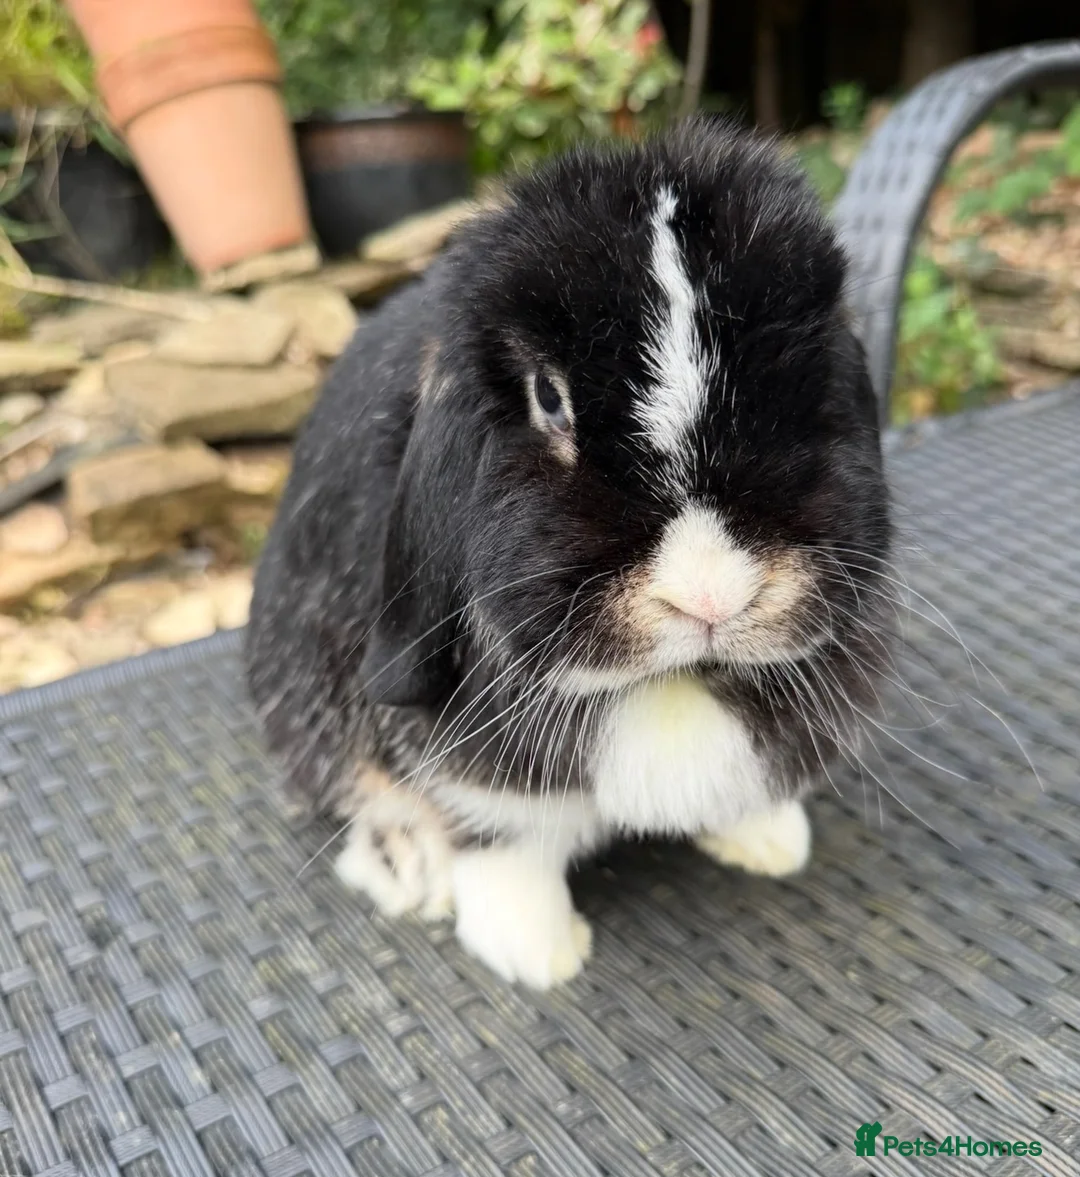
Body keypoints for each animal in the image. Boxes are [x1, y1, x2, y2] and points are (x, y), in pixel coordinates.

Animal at [246, 116, 892, 989]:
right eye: (548, 399)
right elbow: (502, 840)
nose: (711, 595)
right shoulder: (471, 772)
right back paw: (410, 867)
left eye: (812, 371)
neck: (667, 683)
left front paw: (770, 841)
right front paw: (537, 954)